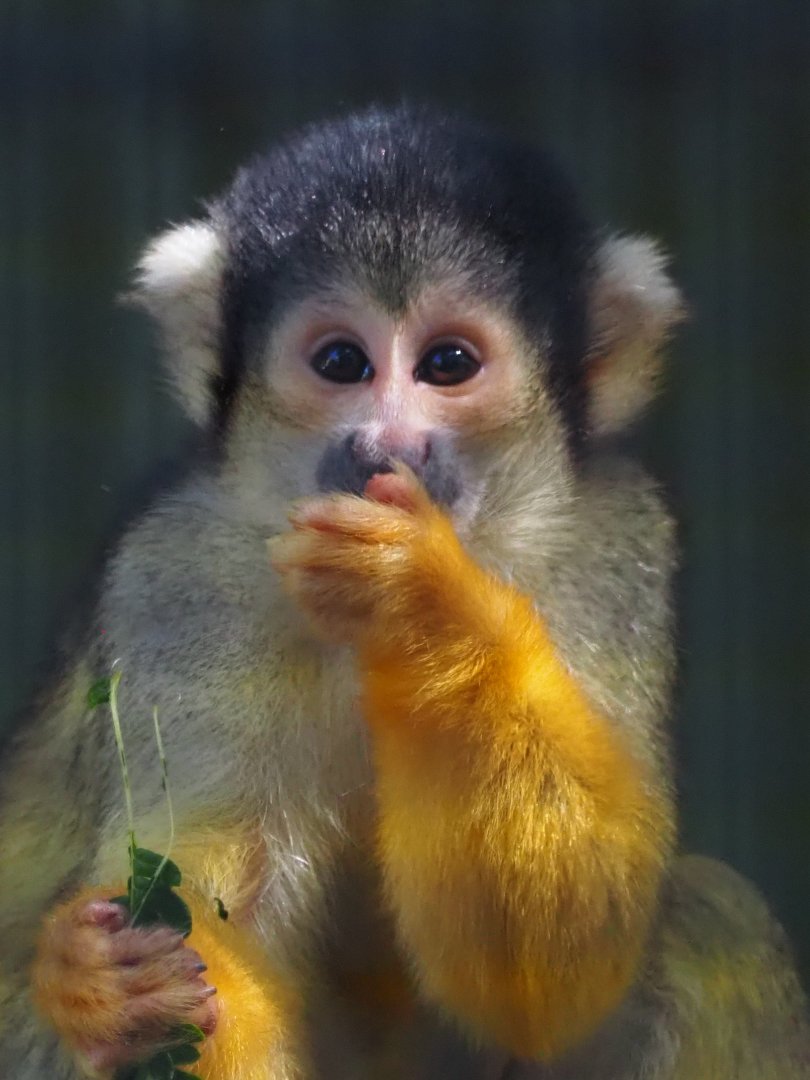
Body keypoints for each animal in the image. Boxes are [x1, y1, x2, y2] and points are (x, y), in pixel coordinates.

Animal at [0, 103, 808, 1080]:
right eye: (342, 362)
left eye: (448, 363)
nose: (384, 447)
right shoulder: (178, 573)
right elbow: (218, 925)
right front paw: (102, 986)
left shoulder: (613, 545)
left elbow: (558, 979)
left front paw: (420, 599)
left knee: (710, 922)